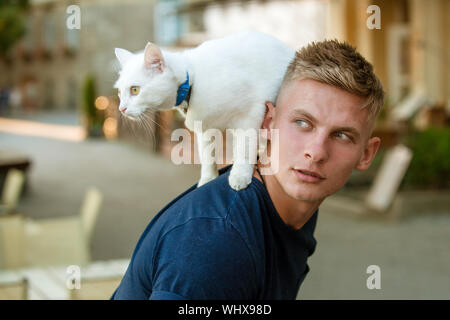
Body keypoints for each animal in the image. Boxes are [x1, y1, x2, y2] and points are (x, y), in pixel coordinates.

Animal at [113, 30, 296, 190]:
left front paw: (239, 175)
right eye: (120, 92)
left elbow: (244, 148)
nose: (121, 109)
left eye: (135, 90)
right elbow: (207, 155)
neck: (192, 80)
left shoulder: (250, 114)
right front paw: (208, 179)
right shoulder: (205, 128)